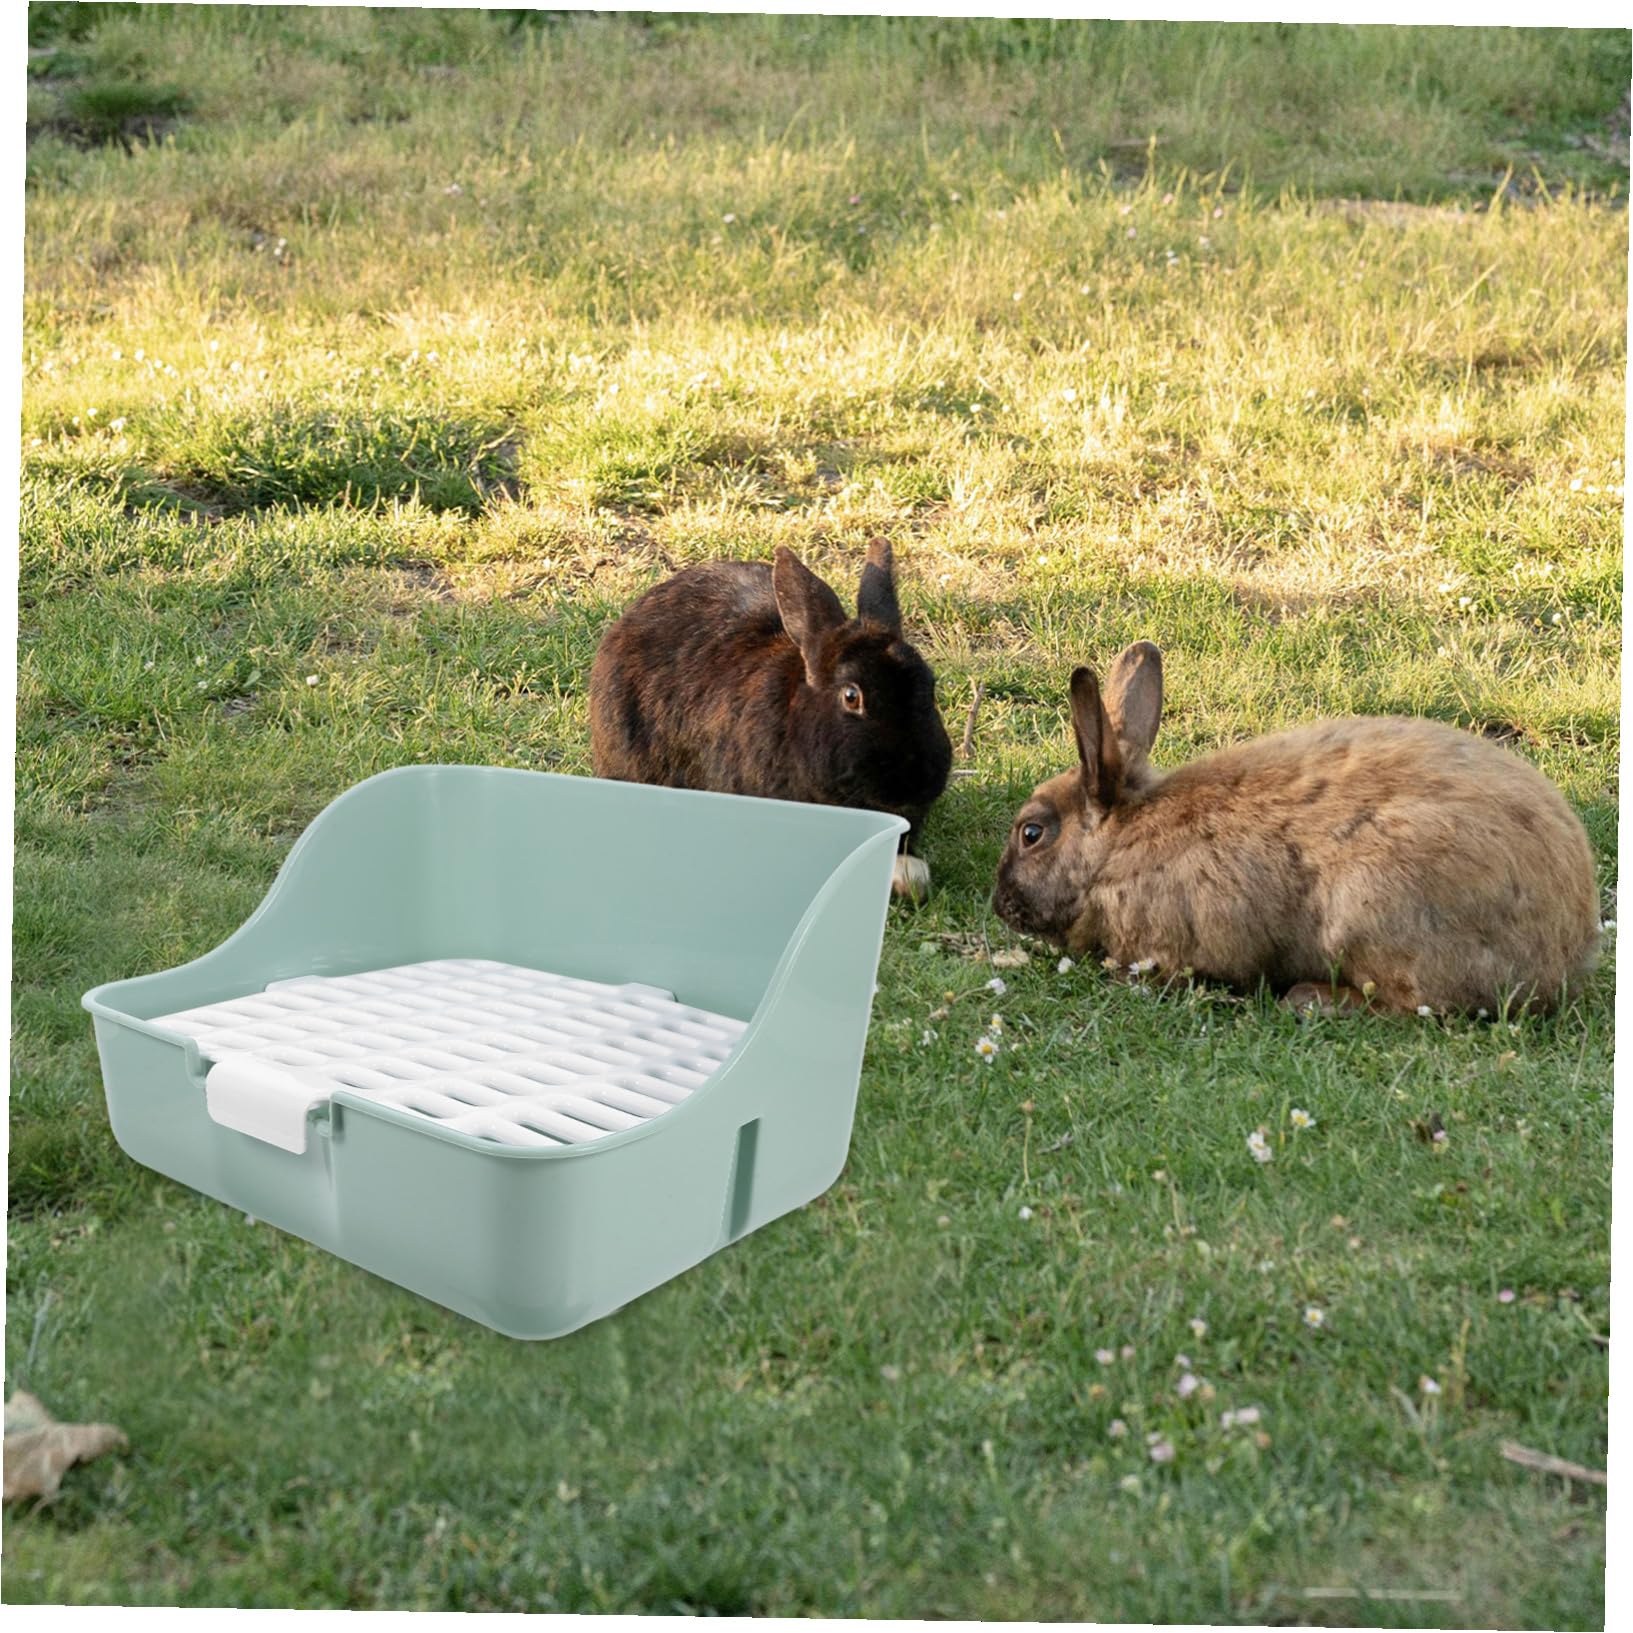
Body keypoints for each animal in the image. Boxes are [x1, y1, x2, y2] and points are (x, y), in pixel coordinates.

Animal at [991, 641, 1600, 1015]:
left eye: (1032, 833)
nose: (1000, 905)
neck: (1117, 847)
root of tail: (1565, 952)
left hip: (1370, 911)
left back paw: (1311, 1000)